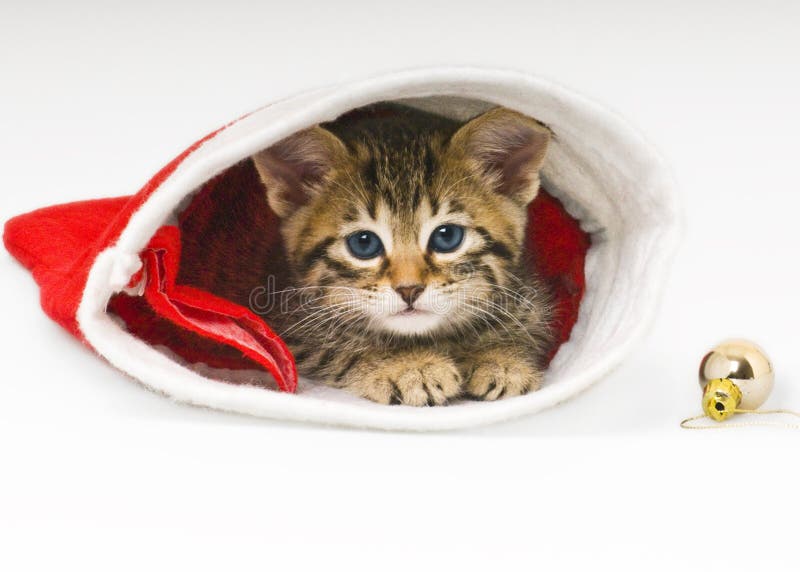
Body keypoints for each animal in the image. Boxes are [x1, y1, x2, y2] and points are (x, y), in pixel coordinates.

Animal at [253, 104, 552, 406]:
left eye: (447, 237)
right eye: (363, 243)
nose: (409, 289)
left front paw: (502, 357)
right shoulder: (290, 331)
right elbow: (332, 348)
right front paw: (407, 366)